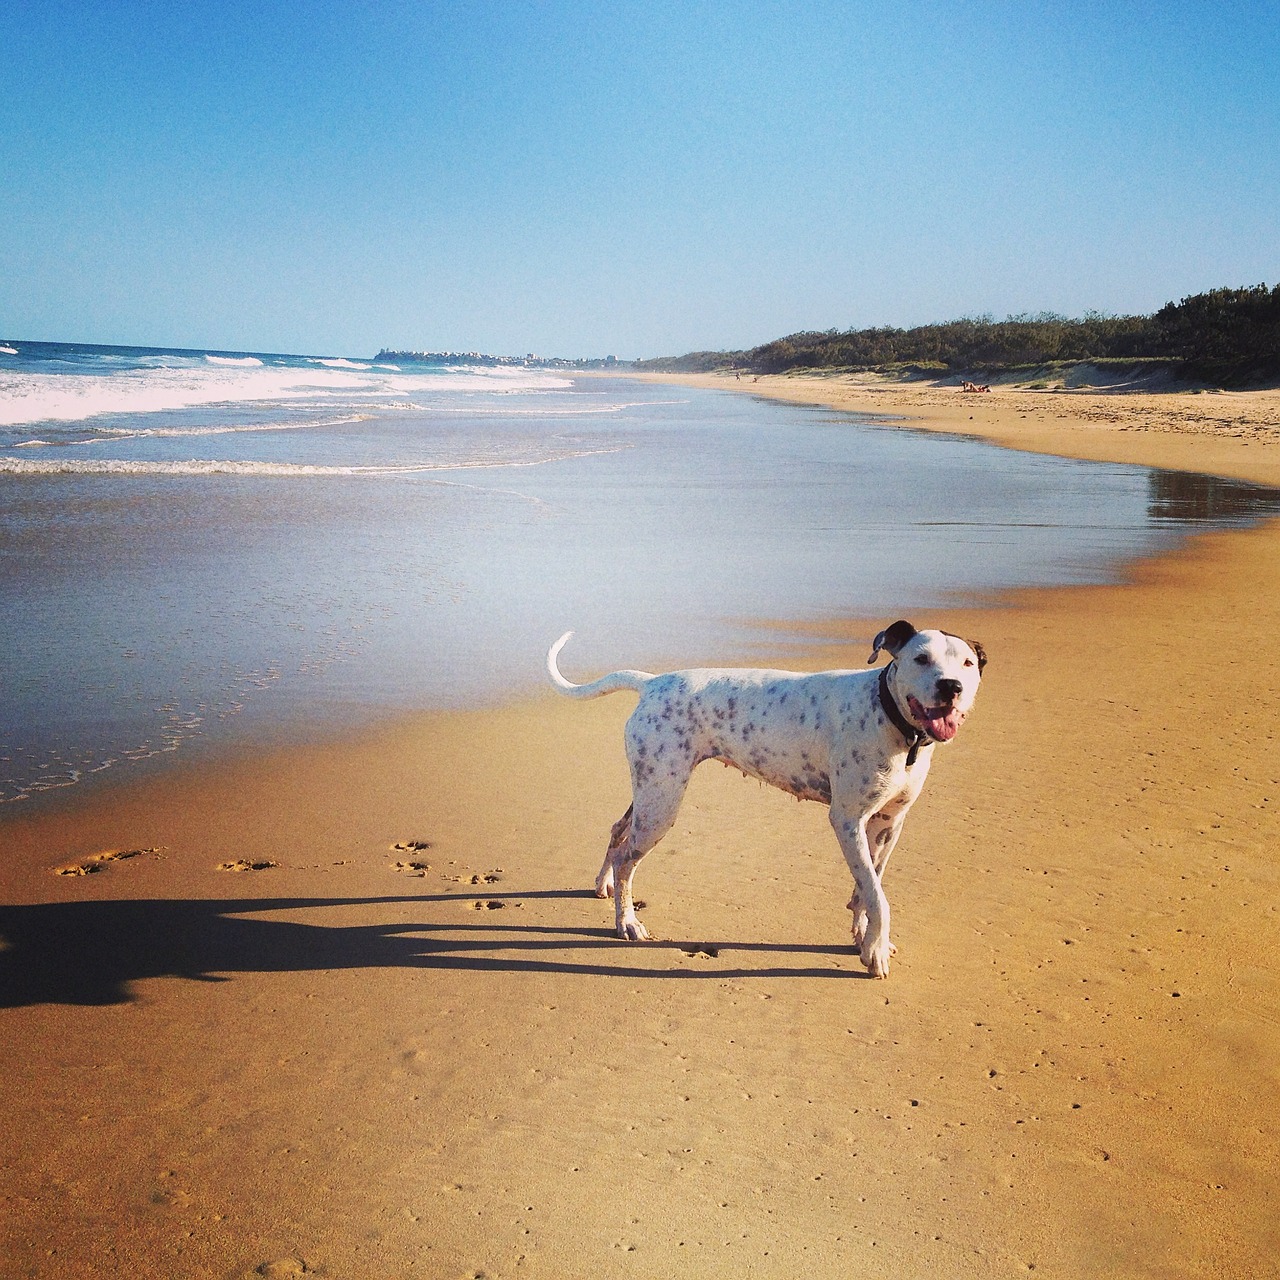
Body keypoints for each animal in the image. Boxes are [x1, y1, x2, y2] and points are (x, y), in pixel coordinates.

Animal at [545, 622, 983, 977]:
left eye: (967, 664)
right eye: (921, 658)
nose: (951, 687)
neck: (889, 715)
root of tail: (653, 682)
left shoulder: (888, 824)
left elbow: (868, 884)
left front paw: (865, 937)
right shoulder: (846, 820)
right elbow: (878, 895)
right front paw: (874, 951)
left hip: (650, 793)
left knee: (618, 830)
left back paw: (602, 885)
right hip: (662, 804)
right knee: (626, 859)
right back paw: (627, 923)